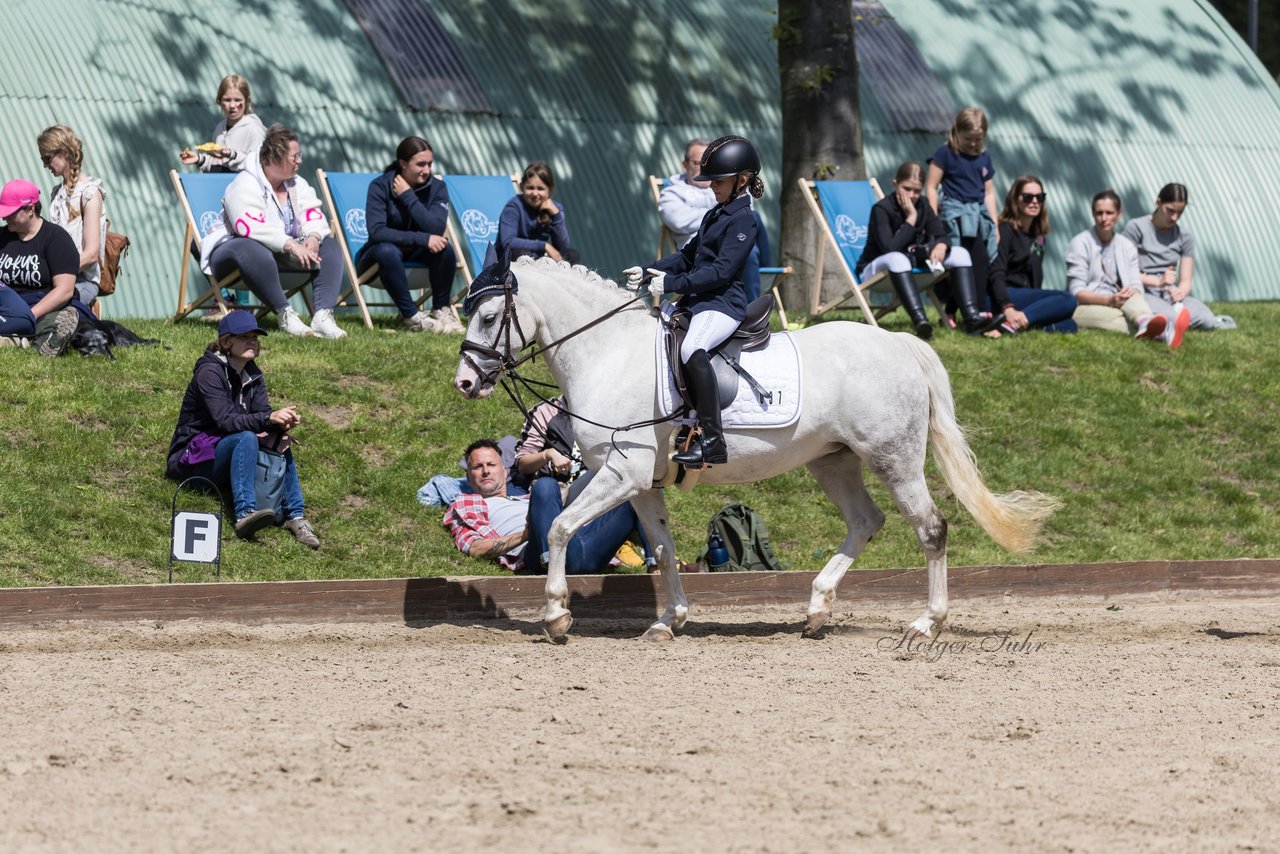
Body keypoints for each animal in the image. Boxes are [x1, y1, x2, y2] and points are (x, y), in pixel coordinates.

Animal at [455, 257, 1054, 645]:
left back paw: (927, 622)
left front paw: (556, 616)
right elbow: (664, 550)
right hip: (832, 461)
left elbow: (559, 528)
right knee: (866, 521)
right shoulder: (640, 484)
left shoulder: (621, 476)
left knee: (930, 528)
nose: (464, 382)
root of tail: (897, 344)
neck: (608, 353)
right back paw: (816, 609)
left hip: (894, 458)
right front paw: (669, 621)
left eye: (488, 317)